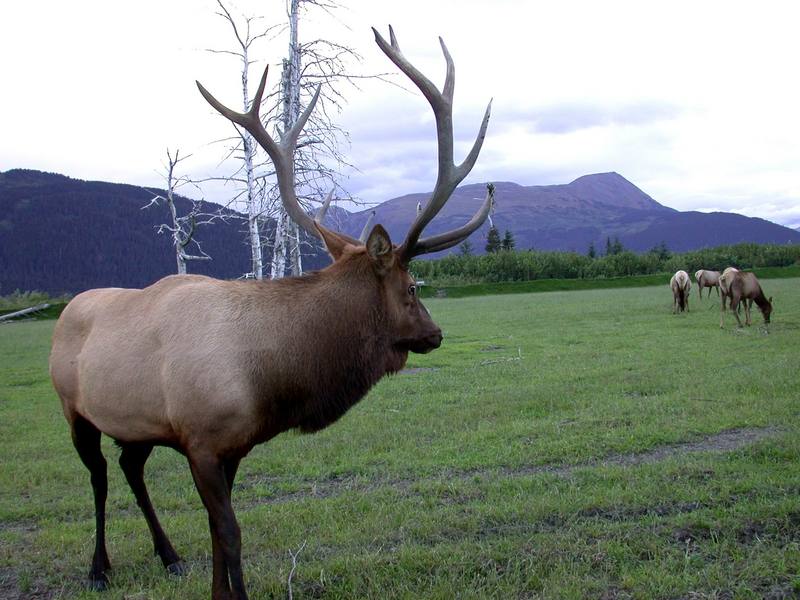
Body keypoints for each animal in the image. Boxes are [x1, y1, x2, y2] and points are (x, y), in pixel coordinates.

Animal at [50, 25, 494, 596]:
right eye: (413, 286)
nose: (435, 334)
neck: (267, 380)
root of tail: (66, 311)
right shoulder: (201, 440)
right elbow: (230, 532)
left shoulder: (230, 446)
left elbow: (218, 534)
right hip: (74, 408)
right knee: (100, 476)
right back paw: (98, 568)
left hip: (137, 425)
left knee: (130, 467)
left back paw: (169, 556)